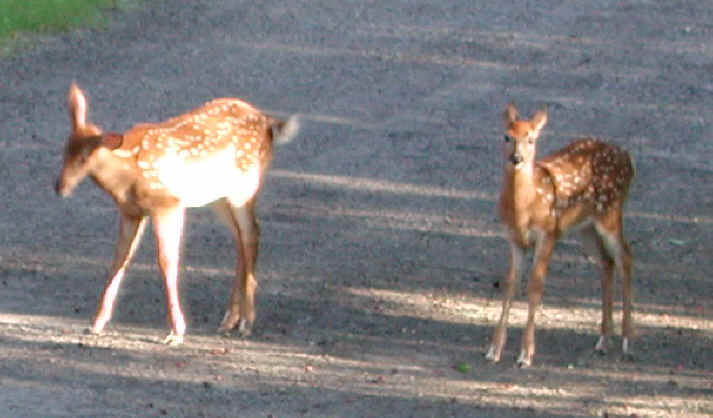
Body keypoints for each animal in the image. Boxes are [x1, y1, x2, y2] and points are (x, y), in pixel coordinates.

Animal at [55, 83, 299, 345]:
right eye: (65, 150)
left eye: (84, 158)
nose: (59, 187)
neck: (127, 174)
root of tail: (267, 120)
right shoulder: (131, 212)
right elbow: (120, 259)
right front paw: (96, 323)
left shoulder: (168, 204)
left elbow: (167, 261)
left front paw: (176, 331)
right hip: (219, 197)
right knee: (240, 239)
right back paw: (229, 320)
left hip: (244, 187)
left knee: (252, 233)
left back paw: (246, 322)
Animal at [485, 103, 635, 367]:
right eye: (507, 136)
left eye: (531, 139)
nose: (516, 159)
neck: (525, 206)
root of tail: (629, 161)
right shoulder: (514, 238)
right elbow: (510, 284)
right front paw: (494, 350)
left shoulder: (548, 232)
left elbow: (535, 285)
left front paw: (526, 354)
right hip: (586, 227)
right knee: (606, 262)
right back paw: (603, 341)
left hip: (610, 213)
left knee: (625, 258)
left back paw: (627, 343)